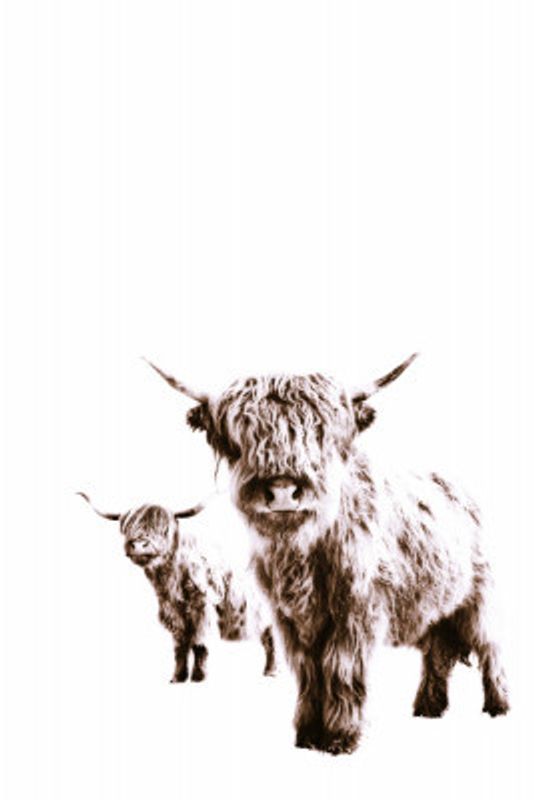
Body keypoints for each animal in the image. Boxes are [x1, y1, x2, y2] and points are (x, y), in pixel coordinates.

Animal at [78, 493, 277, 682]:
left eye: (164, 529)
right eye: (128, 527)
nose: (139, 545)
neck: (172, 581)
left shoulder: (202, 609)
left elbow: (199, 643)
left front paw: (199, 677)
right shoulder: (174, 613)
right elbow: (180, 646)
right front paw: (177, 677)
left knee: (270, 639)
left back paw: (271, 671)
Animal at [145, 355, 510, 755]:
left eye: (320, 434)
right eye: (240, 438)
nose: (283, 492)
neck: (301, 555)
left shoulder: (356, 610)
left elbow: (340, 667)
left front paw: (339, 737)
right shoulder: (289, 618)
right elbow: (309, 671)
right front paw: (307, 734)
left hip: (480, 599)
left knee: (490, 648)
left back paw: (498, 706)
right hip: (435, 604)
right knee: (437, 653)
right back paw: (428, 707)